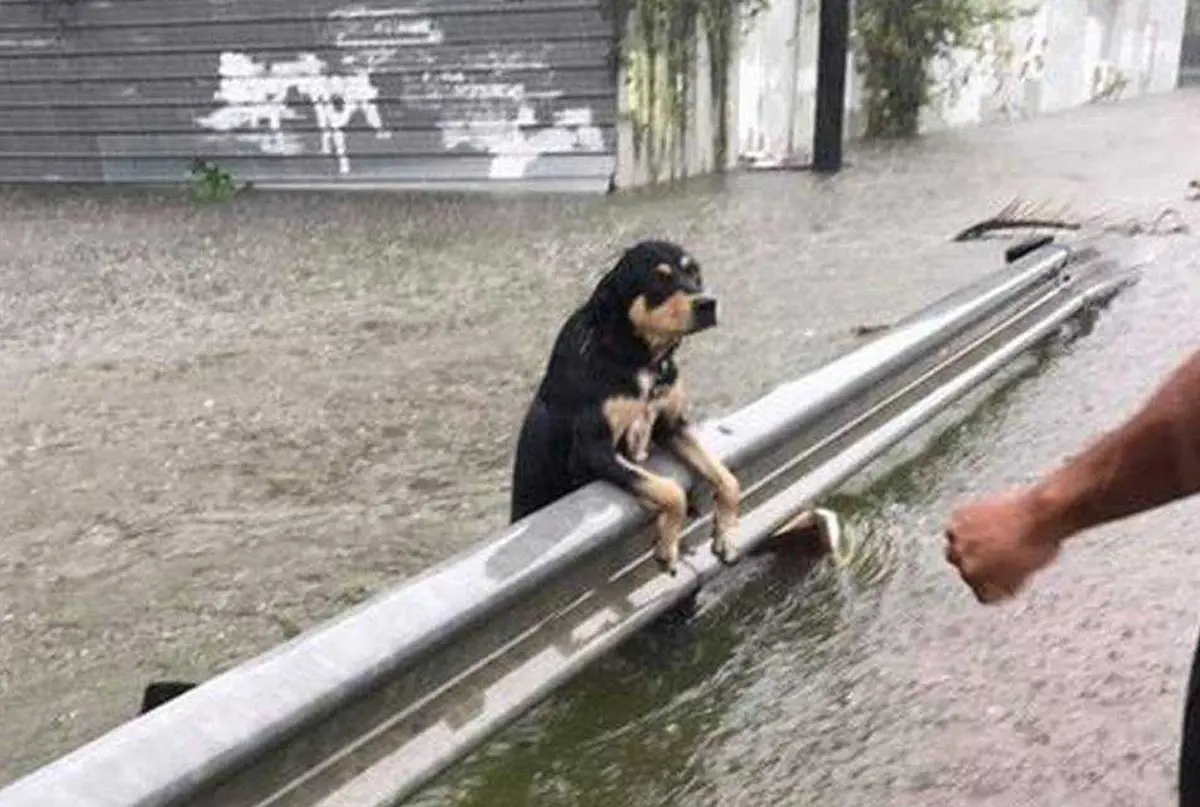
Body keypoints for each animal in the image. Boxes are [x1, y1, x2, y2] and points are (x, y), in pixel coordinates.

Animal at [513, 240, 739, 574]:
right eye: (659, 280)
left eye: (694, 272)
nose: (707, 303)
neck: (638, 356)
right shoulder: (591, 451)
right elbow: (670, 491)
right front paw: (667, 545)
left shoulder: (672, 426)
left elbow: (727, 478)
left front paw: (728, 533)